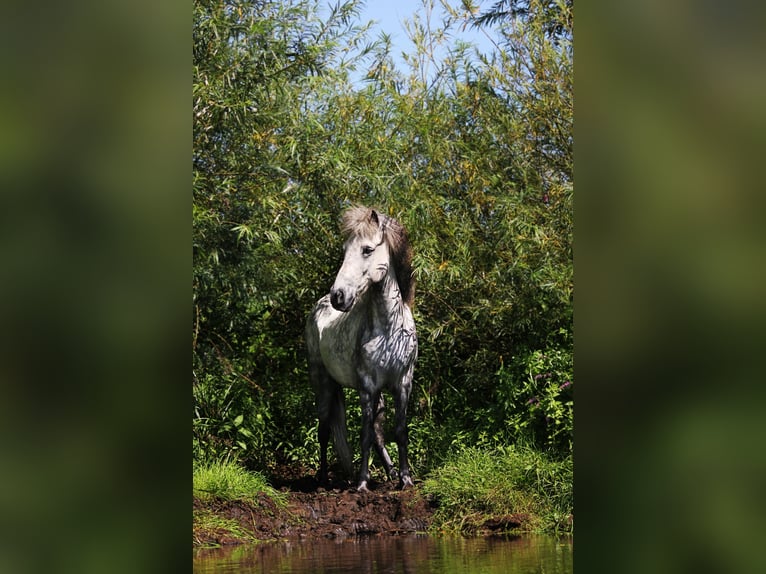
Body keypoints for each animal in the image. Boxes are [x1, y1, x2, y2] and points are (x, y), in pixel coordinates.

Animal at [305, 206, 418, 491]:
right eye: (345, 250)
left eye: (367, 249)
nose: (339, 297)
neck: (389, 330)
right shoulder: (367, 386)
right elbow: (364, 434)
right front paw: (362, 483)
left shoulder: (403, 383)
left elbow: (399, 432)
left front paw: (405, 479)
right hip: (323, 382)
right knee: (324, 429)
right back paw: (323, 479)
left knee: (378, 433)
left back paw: (390, 472)